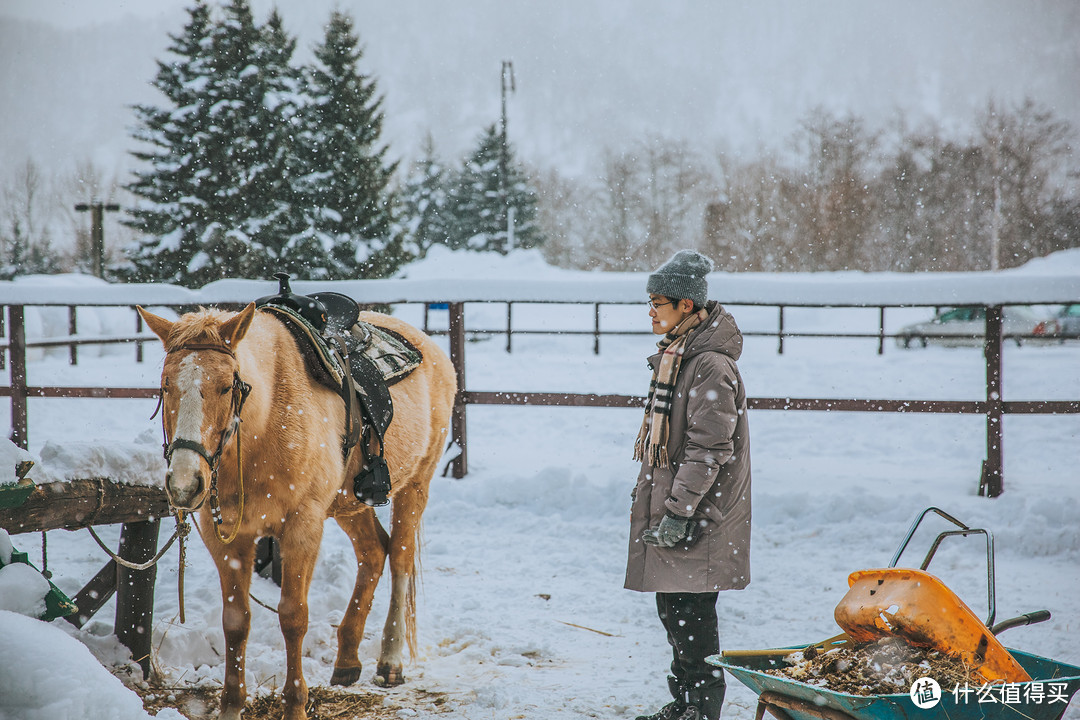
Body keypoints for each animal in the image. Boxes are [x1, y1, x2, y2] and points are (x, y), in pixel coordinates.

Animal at [136, 302, 455, 720]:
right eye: (165, 386)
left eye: (225, 386)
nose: (185, 484)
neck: (266, 422)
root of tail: (430, 347)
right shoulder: (228, 538)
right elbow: (236, 622)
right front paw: (231, 706)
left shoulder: (303, 526)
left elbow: (293, 617)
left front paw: (295, 706)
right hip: (350, 505)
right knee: (373, 553)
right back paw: (347, 659)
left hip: (416, 484)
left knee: (400, 559)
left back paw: (390, 660)